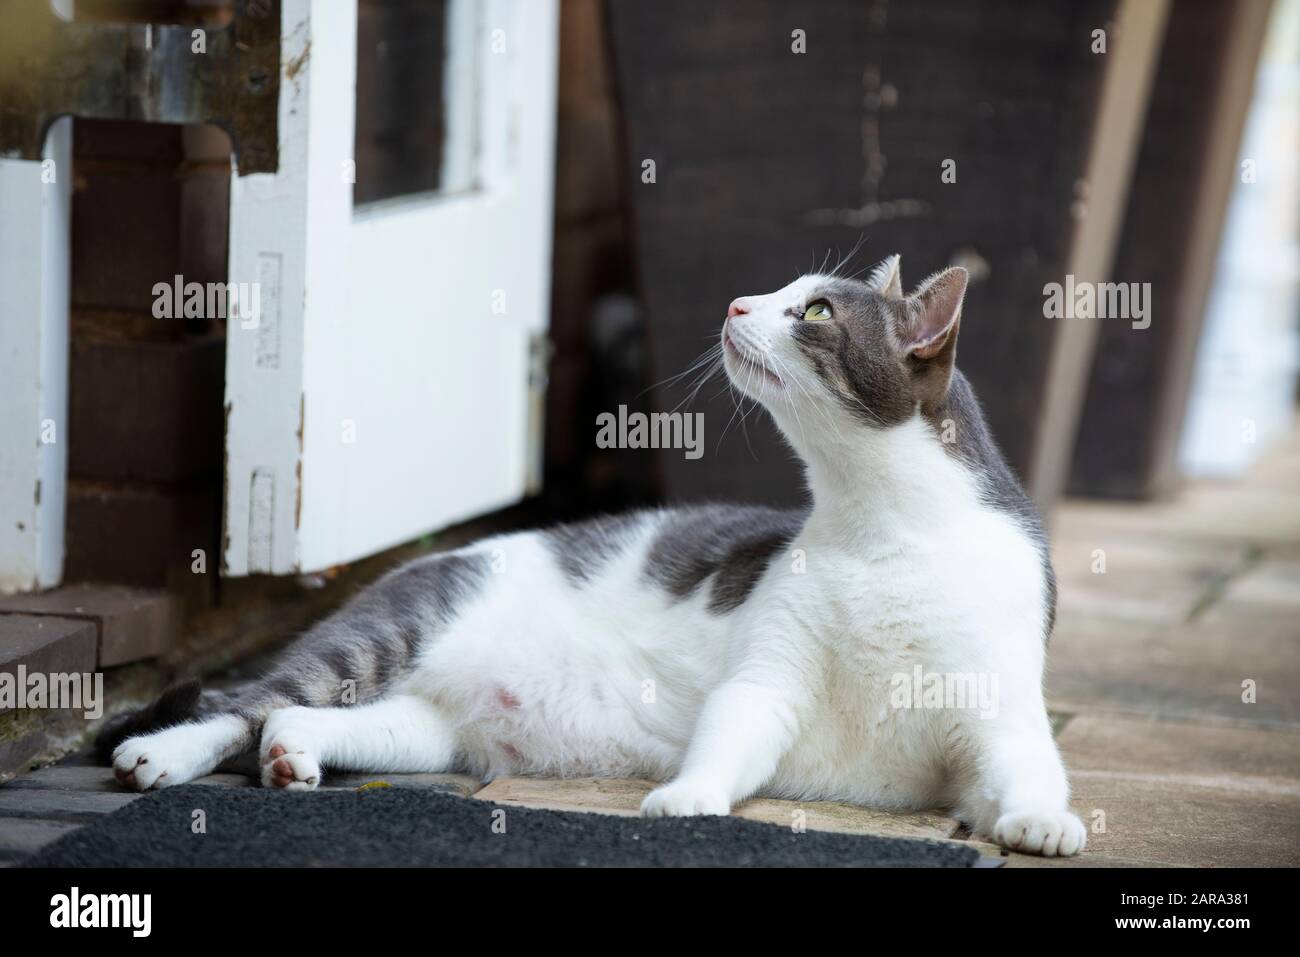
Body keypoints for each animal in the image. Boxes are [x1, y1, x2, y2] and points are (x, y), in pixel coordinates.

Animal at [96, 256, 1081, 858]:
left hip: (429, 729)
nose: (737, 304)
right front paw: (688, 797)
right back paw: (161, 755)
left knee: (297, 718)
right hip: (384, 637)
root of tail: (423, 561)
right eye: (786, 292)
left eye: (815, 311)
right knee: (239, 701)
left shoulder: (997, 709)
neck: (883, 527)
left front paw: (1043, 821)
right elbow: (731, 728)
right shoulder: (766, 677)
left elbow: (1026, 762)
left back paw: (292, 756)